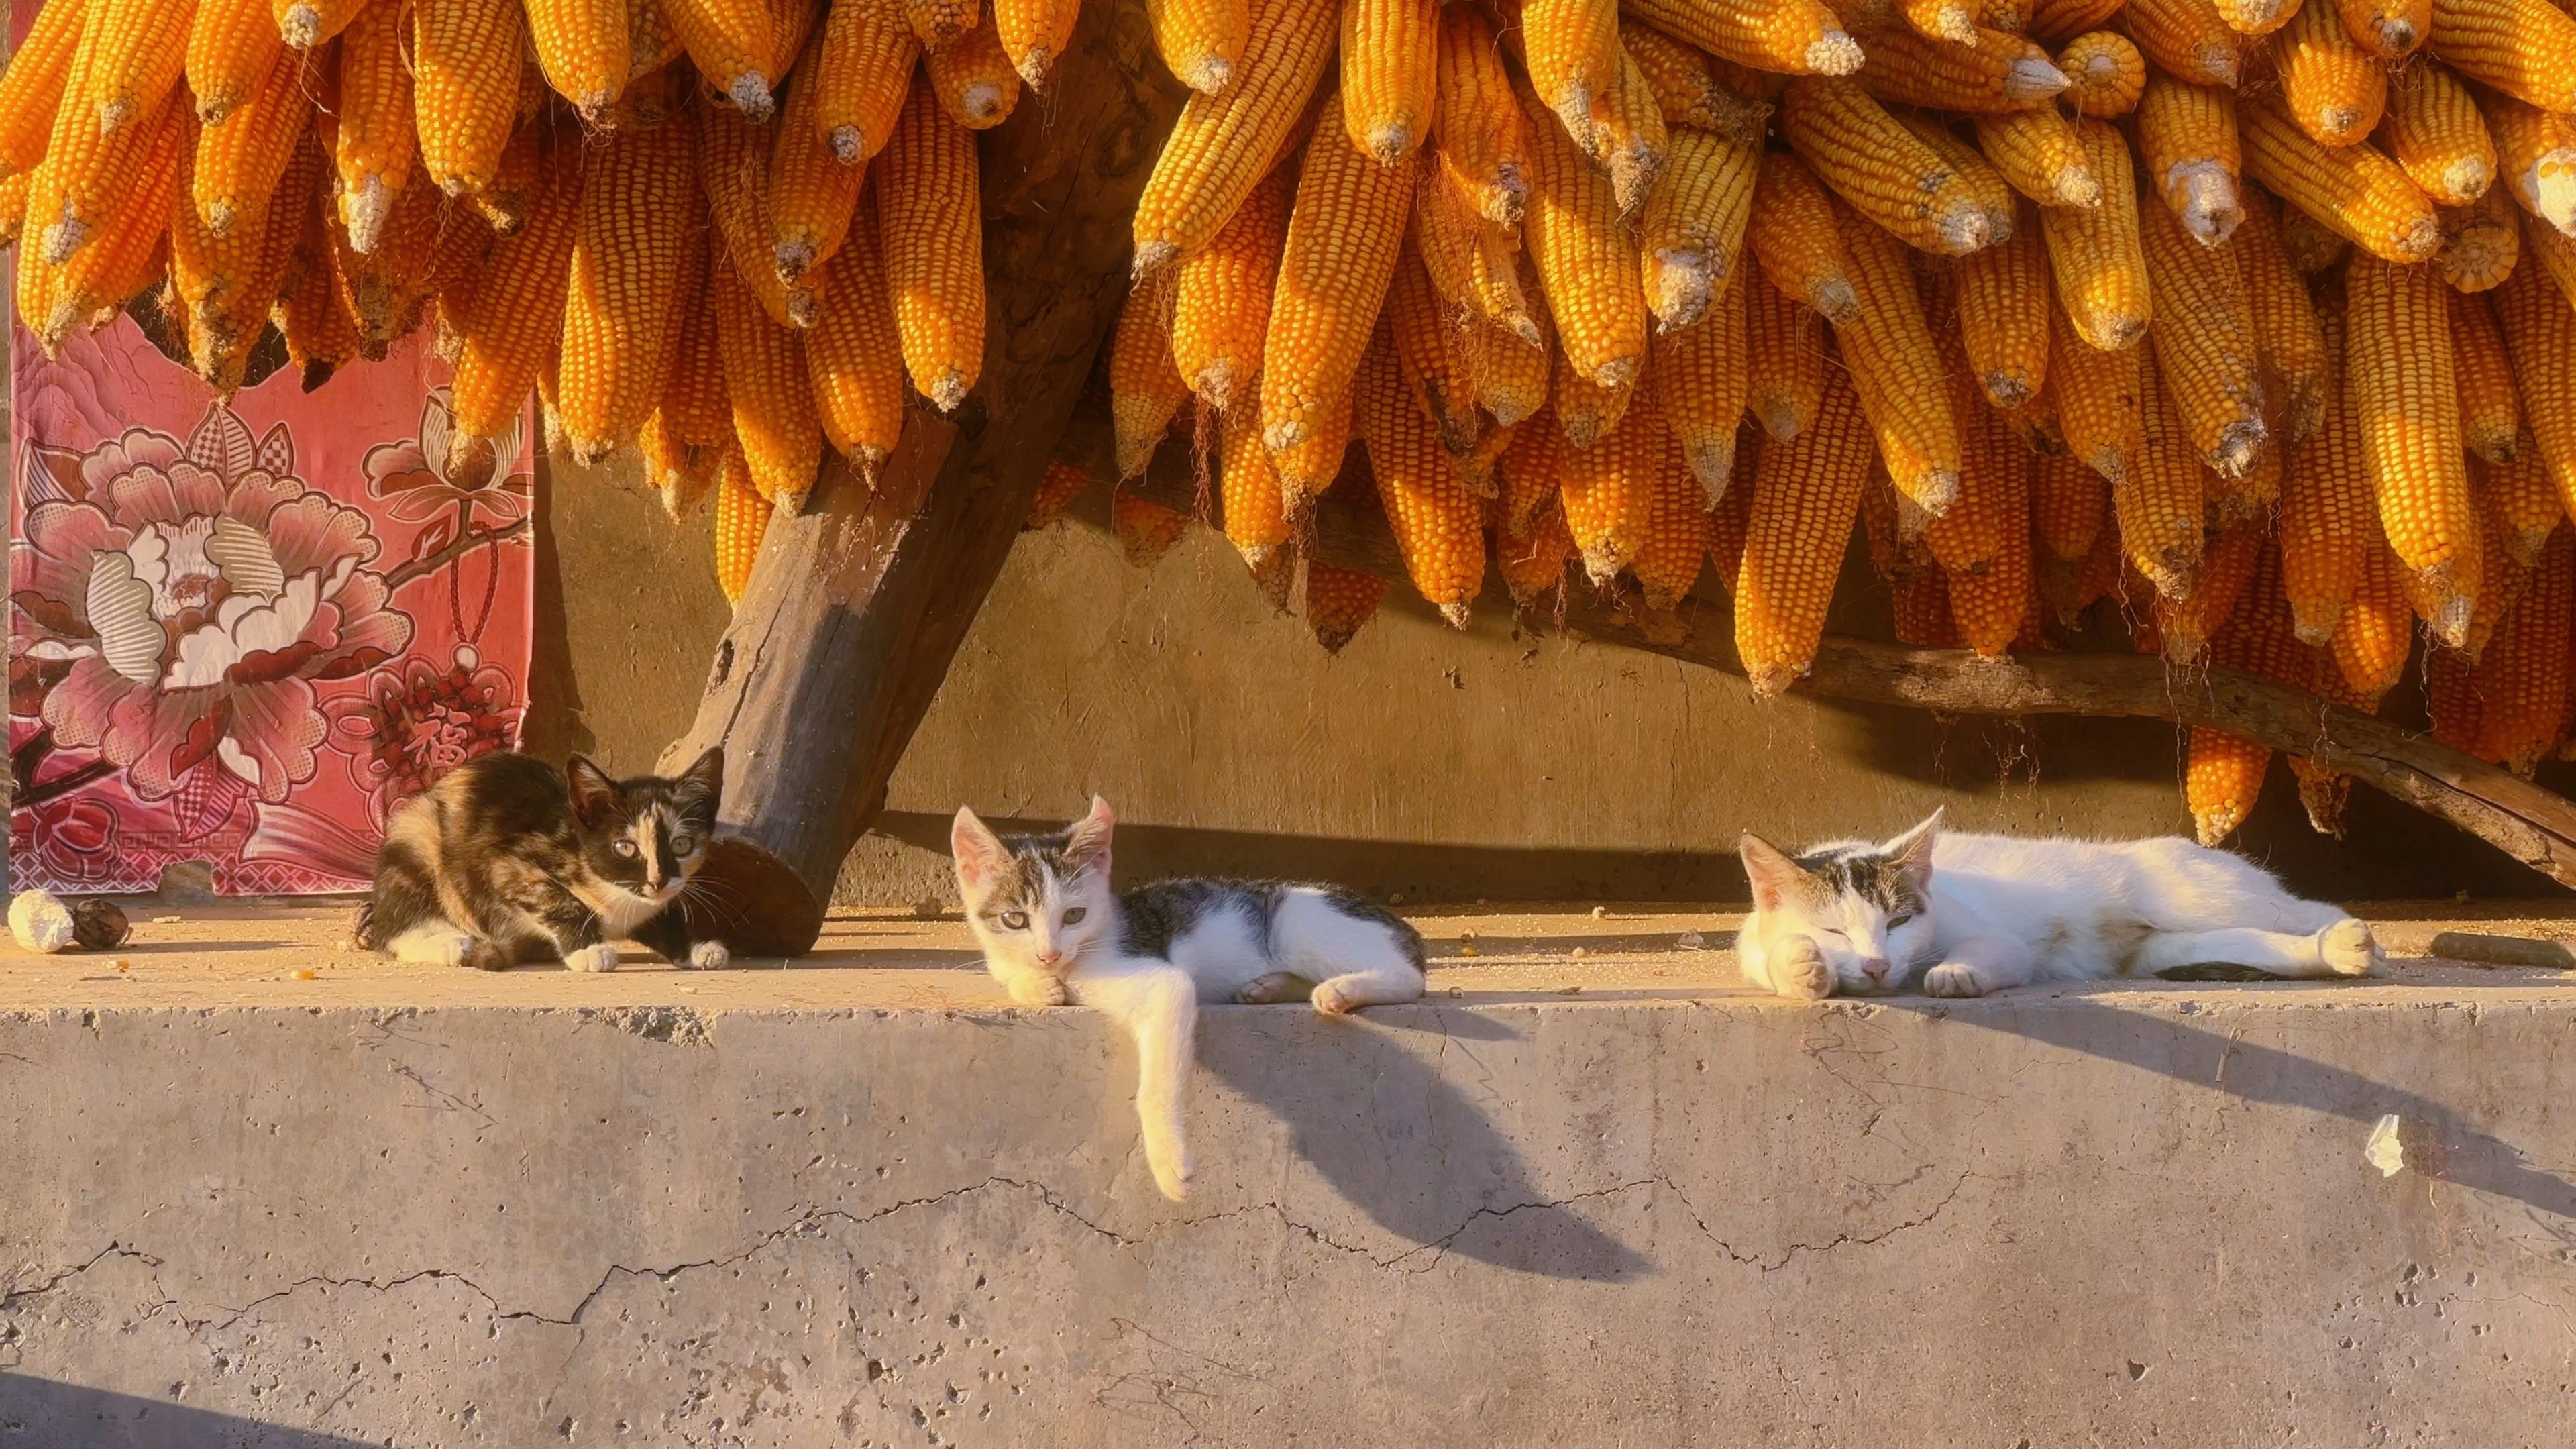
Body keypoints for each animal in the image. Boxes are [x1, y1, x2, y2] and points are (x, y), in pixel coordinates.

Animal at [353, 742, 737, 969]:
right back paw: (451, 944)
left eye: (681, 845)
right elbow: (558, 900)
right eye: (625, 847)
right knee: (392, 929)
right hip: (417, 833)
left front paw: (696, 949)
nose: (658, 881)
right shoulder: (504, 865)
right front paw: (588, 950)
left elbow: (662, 918)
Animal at [958, 789, 1432, 1196]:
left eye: (1074, 915)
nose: (1049, 953)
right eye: (1015, 919)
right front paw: (1038, 985)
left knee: (1410, 978)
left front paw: (1169, 1162)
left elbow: (1155, 1085)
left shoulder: (1162, 982)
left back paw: (1342, 990)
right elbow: (1009, 973)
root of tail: (1403, 925)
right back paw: (1268, 987)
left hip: (1297, 923)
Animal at [1741, 804, 2380, 1000]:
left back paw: (2355, 942)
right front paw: (1802, 967)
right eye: (1833, 932)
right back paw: (2333, 955)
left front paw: (1955, 972)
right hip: (2173, 949)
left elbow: (1992, 950)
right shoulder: (1748, 945)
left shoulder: (1997, 939)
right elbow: (1770, 960)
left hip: (2201, 896)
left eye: (1897, 922)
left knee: (2309, 912)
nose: (1875, 965)